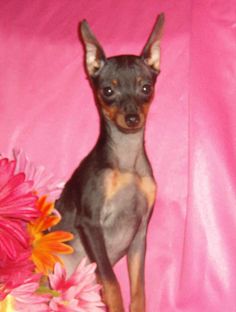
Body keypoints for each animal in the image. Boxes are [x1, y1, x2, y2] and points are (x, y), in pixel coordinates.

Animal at [56, 14, 165, 312]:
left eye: (146, 88)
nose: (132, 118)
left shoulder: (140, 234)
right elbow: (112, 282)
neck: (126, 165)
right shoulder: (91, 224)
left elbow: (138, 290)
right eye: (107, 91)